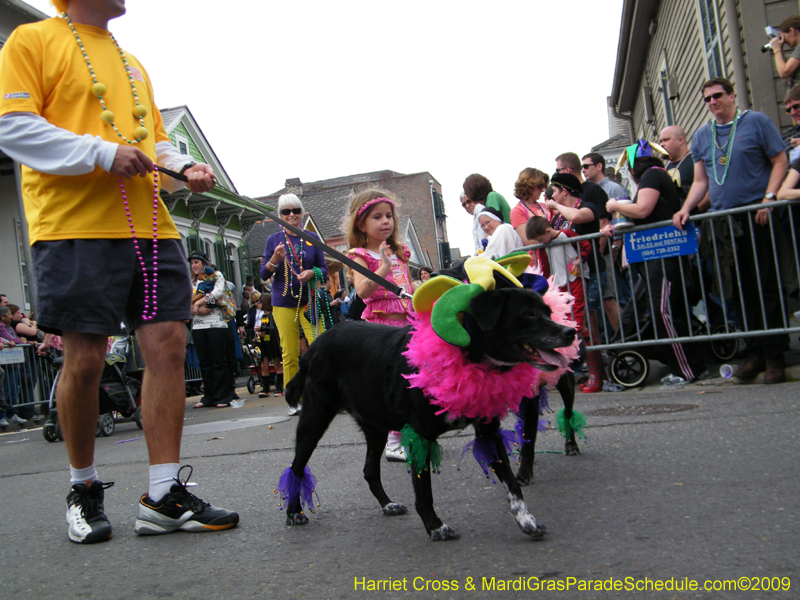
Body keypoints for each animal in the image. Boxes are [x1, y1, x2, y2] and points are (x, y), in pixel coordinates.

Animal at [282, 286, 576, 540]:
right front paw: (435, 527)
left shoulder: (489, 432)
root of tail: (317, 343)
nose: (570, 331)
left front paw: (527, 521)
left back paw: (387, 504)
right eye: (529, 313)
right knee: (296, 467)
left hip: (375, 425)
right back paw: (294, 512)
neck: (465, 354)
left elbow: (513, 486)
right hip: (315, 418)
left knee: (369, 471)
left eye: (548, 311)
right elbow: (424, 491)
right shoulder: (421, 434)